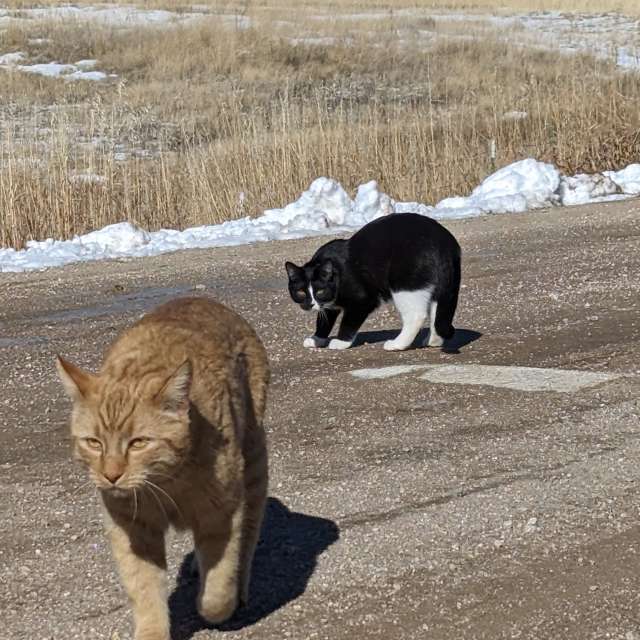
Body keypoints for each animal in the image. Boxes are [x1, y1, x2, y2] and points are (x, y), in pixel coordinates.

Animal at [56, 298, 272, 636]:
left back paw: (242, 587)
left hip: (253, 461)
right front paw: (152, 631)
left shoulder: (222, 514)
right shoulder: (132, 529)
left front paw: (216, 603)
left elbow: (218, 588)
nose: (111, 475)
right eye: (94, 443)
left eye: (138, 443)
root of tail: (202, 299)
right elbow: (144, 589)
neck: (166, 482)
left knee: (250, 529)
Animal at [284, 211, 460, 350]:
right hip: (440, 287)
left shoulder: (363, 300)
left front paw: (340, 342)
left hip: (404, 284)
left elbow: (348, 321)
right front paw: (317, 338)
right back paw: (433, 340)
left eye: (320, 291)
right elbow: (325, 318)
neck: (338, 273)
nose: (310, 304)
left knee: (416, 315)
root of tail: (444, 243)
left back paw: (397, 344)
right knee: (438, 310)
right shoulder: (329, 303)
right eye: (301, 292)